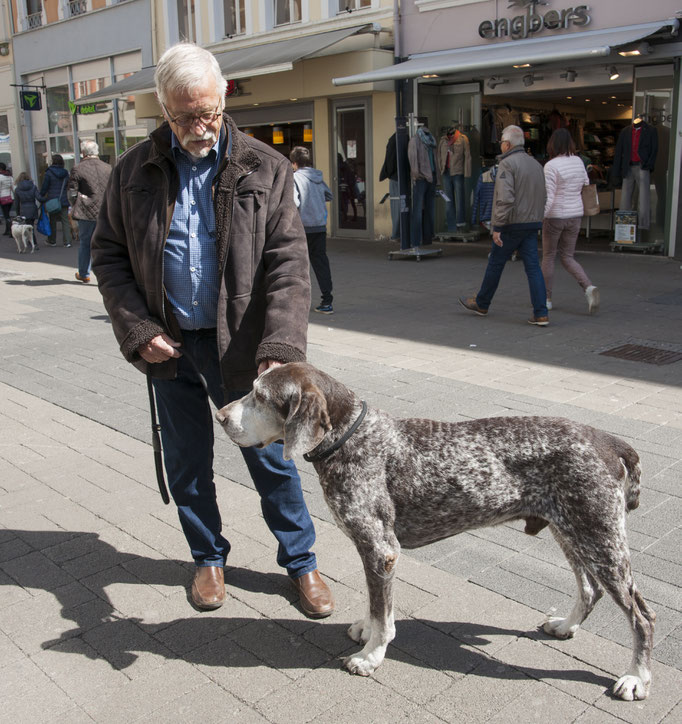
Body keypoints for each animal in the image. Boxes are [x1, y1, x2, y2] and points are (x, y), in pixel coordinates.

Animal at [216, 362, 652, 700]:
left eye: (259, 396)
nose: (220, 416)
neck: (353, 439)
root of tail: (607, 439)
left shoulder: (381, 549)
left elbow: (385, 616)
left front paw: (371, 656)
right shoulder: (372, 552)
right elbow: (375, 606)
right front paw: (366, 631)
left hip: (600, 539)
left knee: (642, 618)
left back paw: (636, 678)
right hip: (572, 531)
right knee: (590, 590)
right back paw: (566, 626)